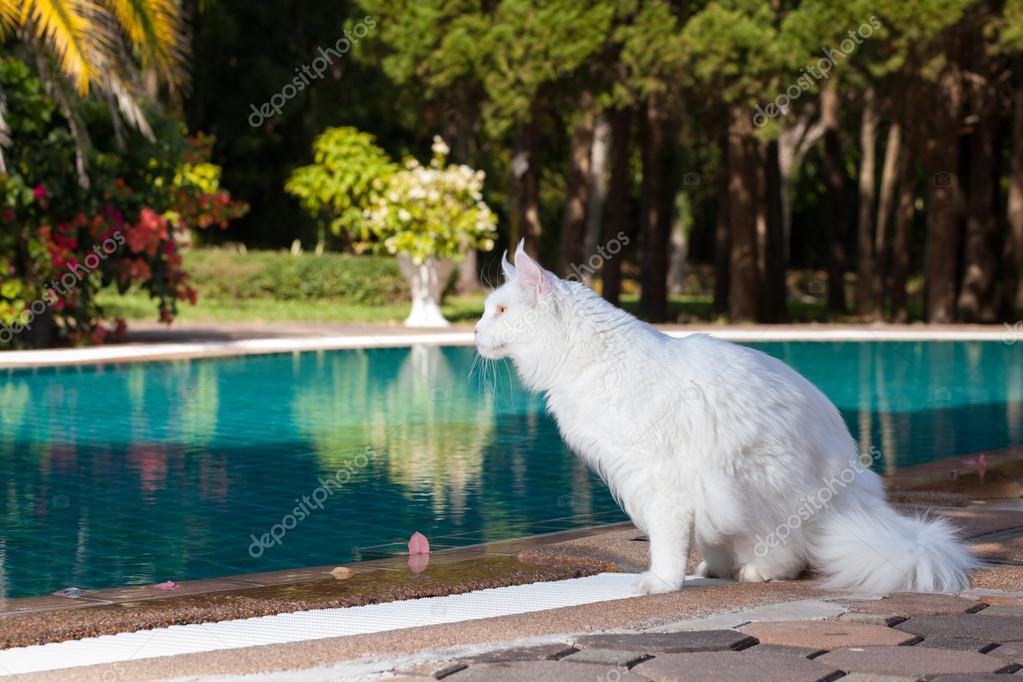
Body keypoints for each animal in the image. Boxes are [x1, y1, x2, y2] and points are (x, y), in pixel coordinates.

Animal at [474, 242, 977, 593]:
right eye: (486, 311)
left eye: (500, 310)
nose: (475, 331)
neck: (590, 358)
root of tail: (855, 485)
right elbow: (691, 538)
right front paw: (696, 572)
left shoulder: (661, 483)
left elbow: (666, 541)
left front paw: (662, 583)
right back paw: (720, 569)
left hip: (759, 480)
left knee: (791, 552)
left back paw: (755, 571)